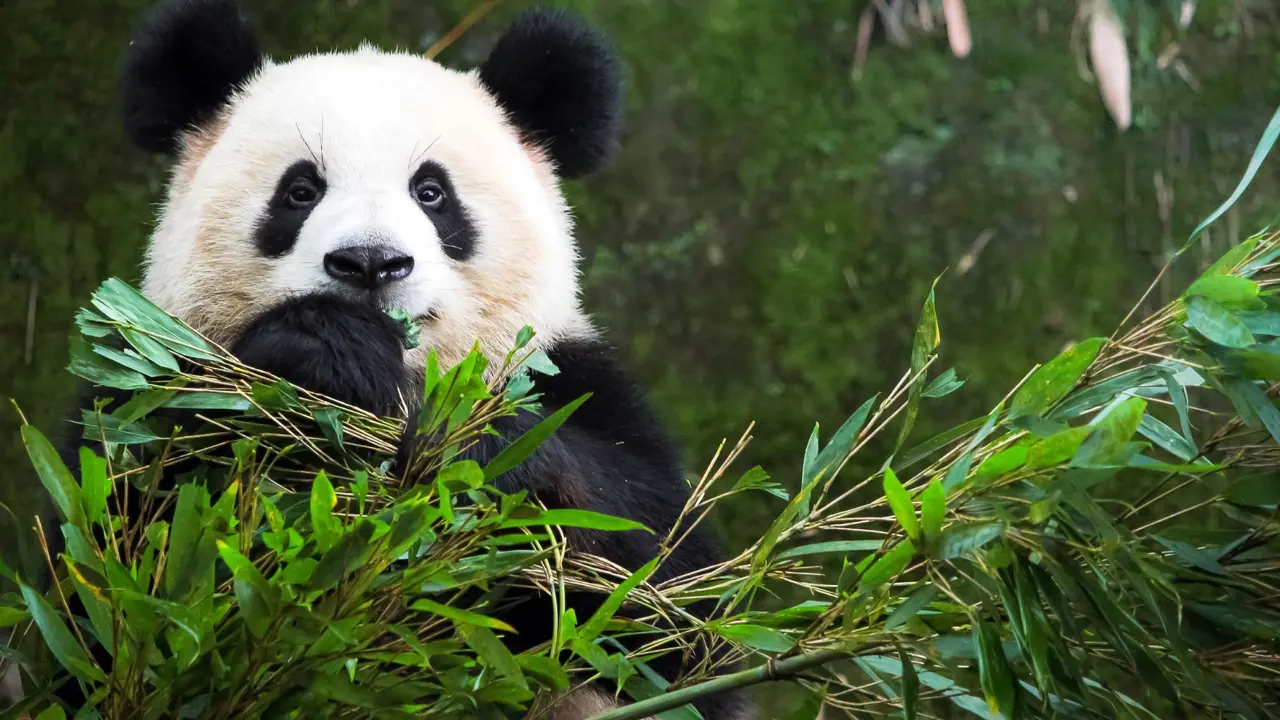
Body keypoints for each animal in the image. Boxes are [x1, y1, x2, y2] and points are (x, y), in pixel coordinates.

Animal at [44, 0, 755, 718]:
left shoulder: (574, 381)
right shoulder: (146, 385)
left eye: (432, 193)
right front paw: (327, 352)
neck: (407, 379)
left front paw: (472, 454)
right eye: (300, 191)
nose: (370, 262)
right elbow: (130, 571)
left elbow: (666, 604)